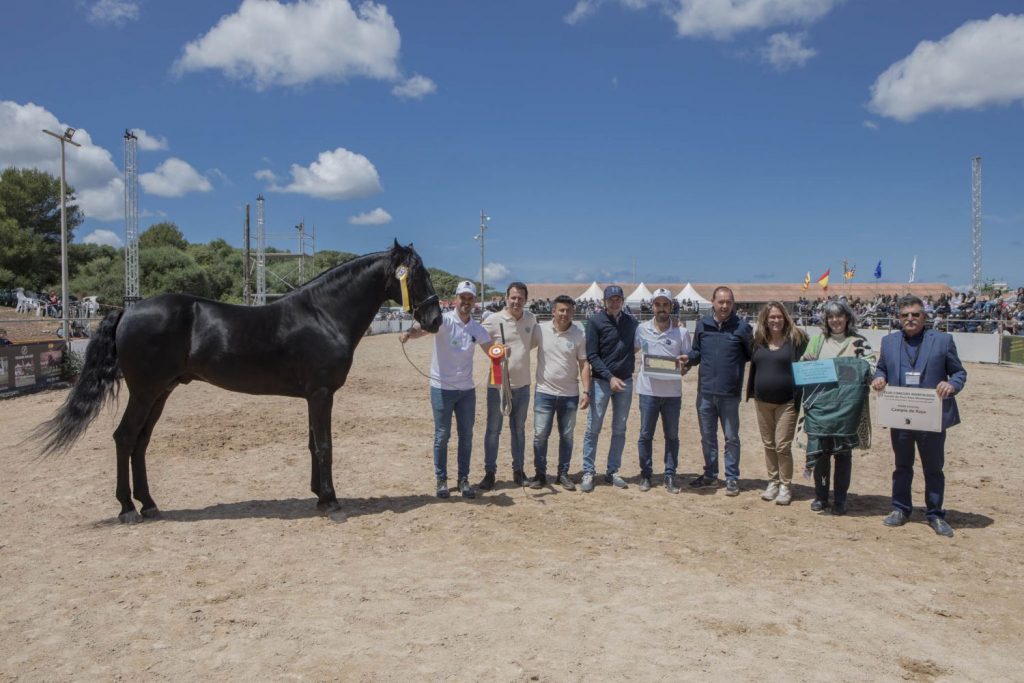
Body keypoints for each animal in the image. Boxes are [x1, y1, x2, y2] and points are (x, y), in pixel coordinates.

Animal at [37, 240, 440, 524]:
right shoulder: (321, 394)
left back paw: (149, 504)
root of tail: (128, 310)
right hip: (146, 391)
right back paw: (126, 509)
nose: (435, 319)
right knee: (124, 438)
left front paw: (318, 496)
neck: (323, 314)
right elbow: (324, 445)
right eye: (417, 274)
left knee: (140, 442)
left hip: (161, 392)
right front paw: (331, 500)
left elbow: (313, 444)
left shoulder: (313, 396)